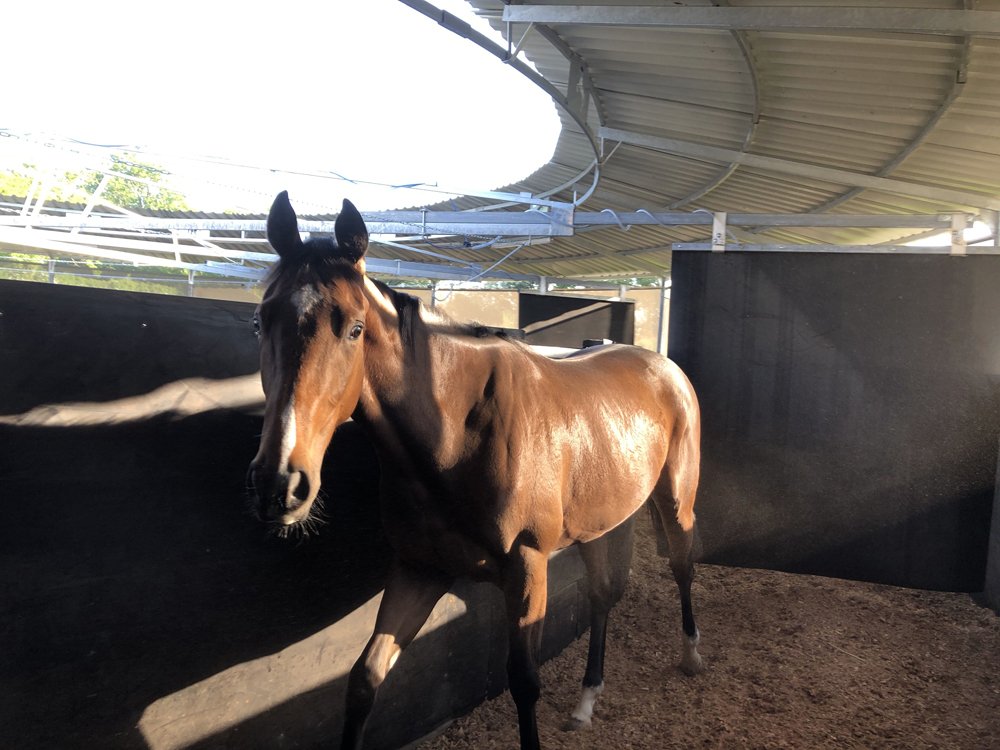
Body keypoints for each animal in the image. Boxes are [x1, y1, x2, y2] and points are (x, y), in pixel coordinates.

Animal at [247, 191, 704, 750]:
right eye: (260, 321)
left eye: (354, 328)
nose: (279, 484)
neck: (456, 435)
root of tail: (665, 367)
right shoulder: (418, 570)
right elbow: (364, 679)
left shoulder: (528, 569)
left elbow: (524, 682)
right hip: (595, 525)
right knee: (601, 595)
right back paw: (586, 701)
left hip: (675, 500)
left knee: (682, 564)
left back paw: (691, 655)